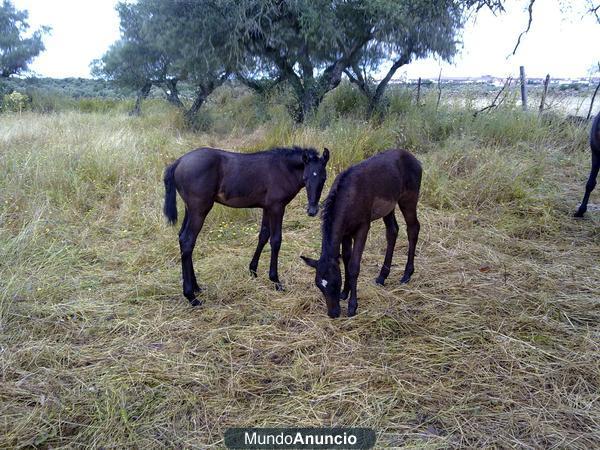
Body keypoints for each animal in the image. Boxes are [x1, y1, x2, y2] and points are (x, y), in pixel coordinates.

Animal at [164, 146, 330, 304]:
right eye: (305, 178)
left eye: (323, 178)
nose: (312, 210)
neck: (283, 168)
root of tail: (178, 162)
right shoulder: (277, 207)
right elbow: (276, 240)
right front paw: (276, 281)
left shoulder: (267, 207)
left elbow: (263, 236)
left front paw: (253, 270)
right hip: (199, 209)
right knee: (188, 241)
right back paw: (191, 296)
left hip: (189, 209)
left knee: (182, 237)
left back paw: (197, 287)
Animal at [300, 149, 422, 318]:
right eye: (319, 285)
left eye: (335, 283)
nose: (333, 313)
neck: (348, 197)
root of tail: (414, 159)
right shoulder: (345, 233)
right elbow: (346, 259)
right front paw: (345, 293)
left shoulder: (363, 228)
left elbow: (354, 266)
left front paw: (352, 306)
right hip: (389, 206)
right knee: (392, 231)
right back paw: (382, 276)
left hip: (408, 199)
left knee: (413, 228)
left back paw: (407, 274)